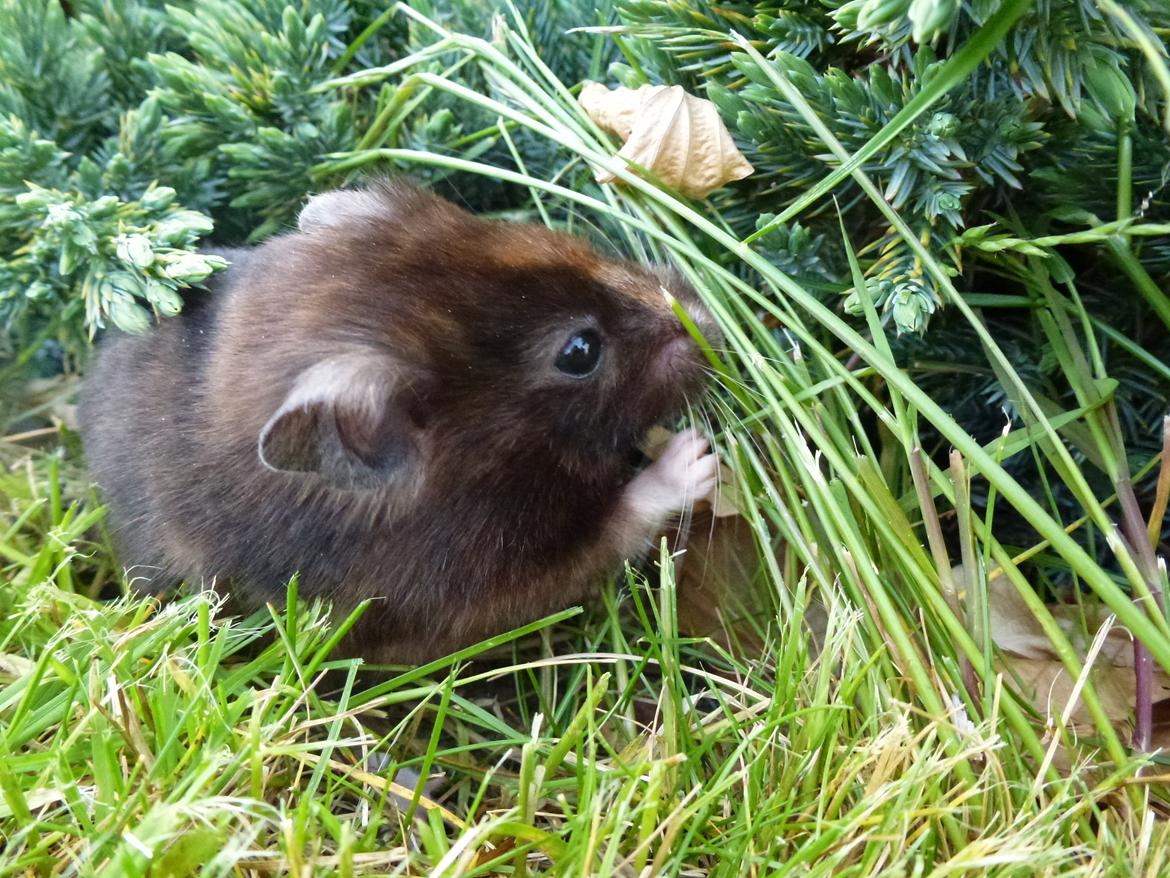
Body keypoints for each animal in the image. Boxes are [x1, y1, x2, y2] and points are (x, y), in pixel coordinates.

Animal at [79, 180, 720, 663]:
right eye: (580, 351)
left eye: (564, 242)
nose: (709, 319)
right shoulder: (475, 593)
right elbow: (615, 528)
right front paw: (695, 458)